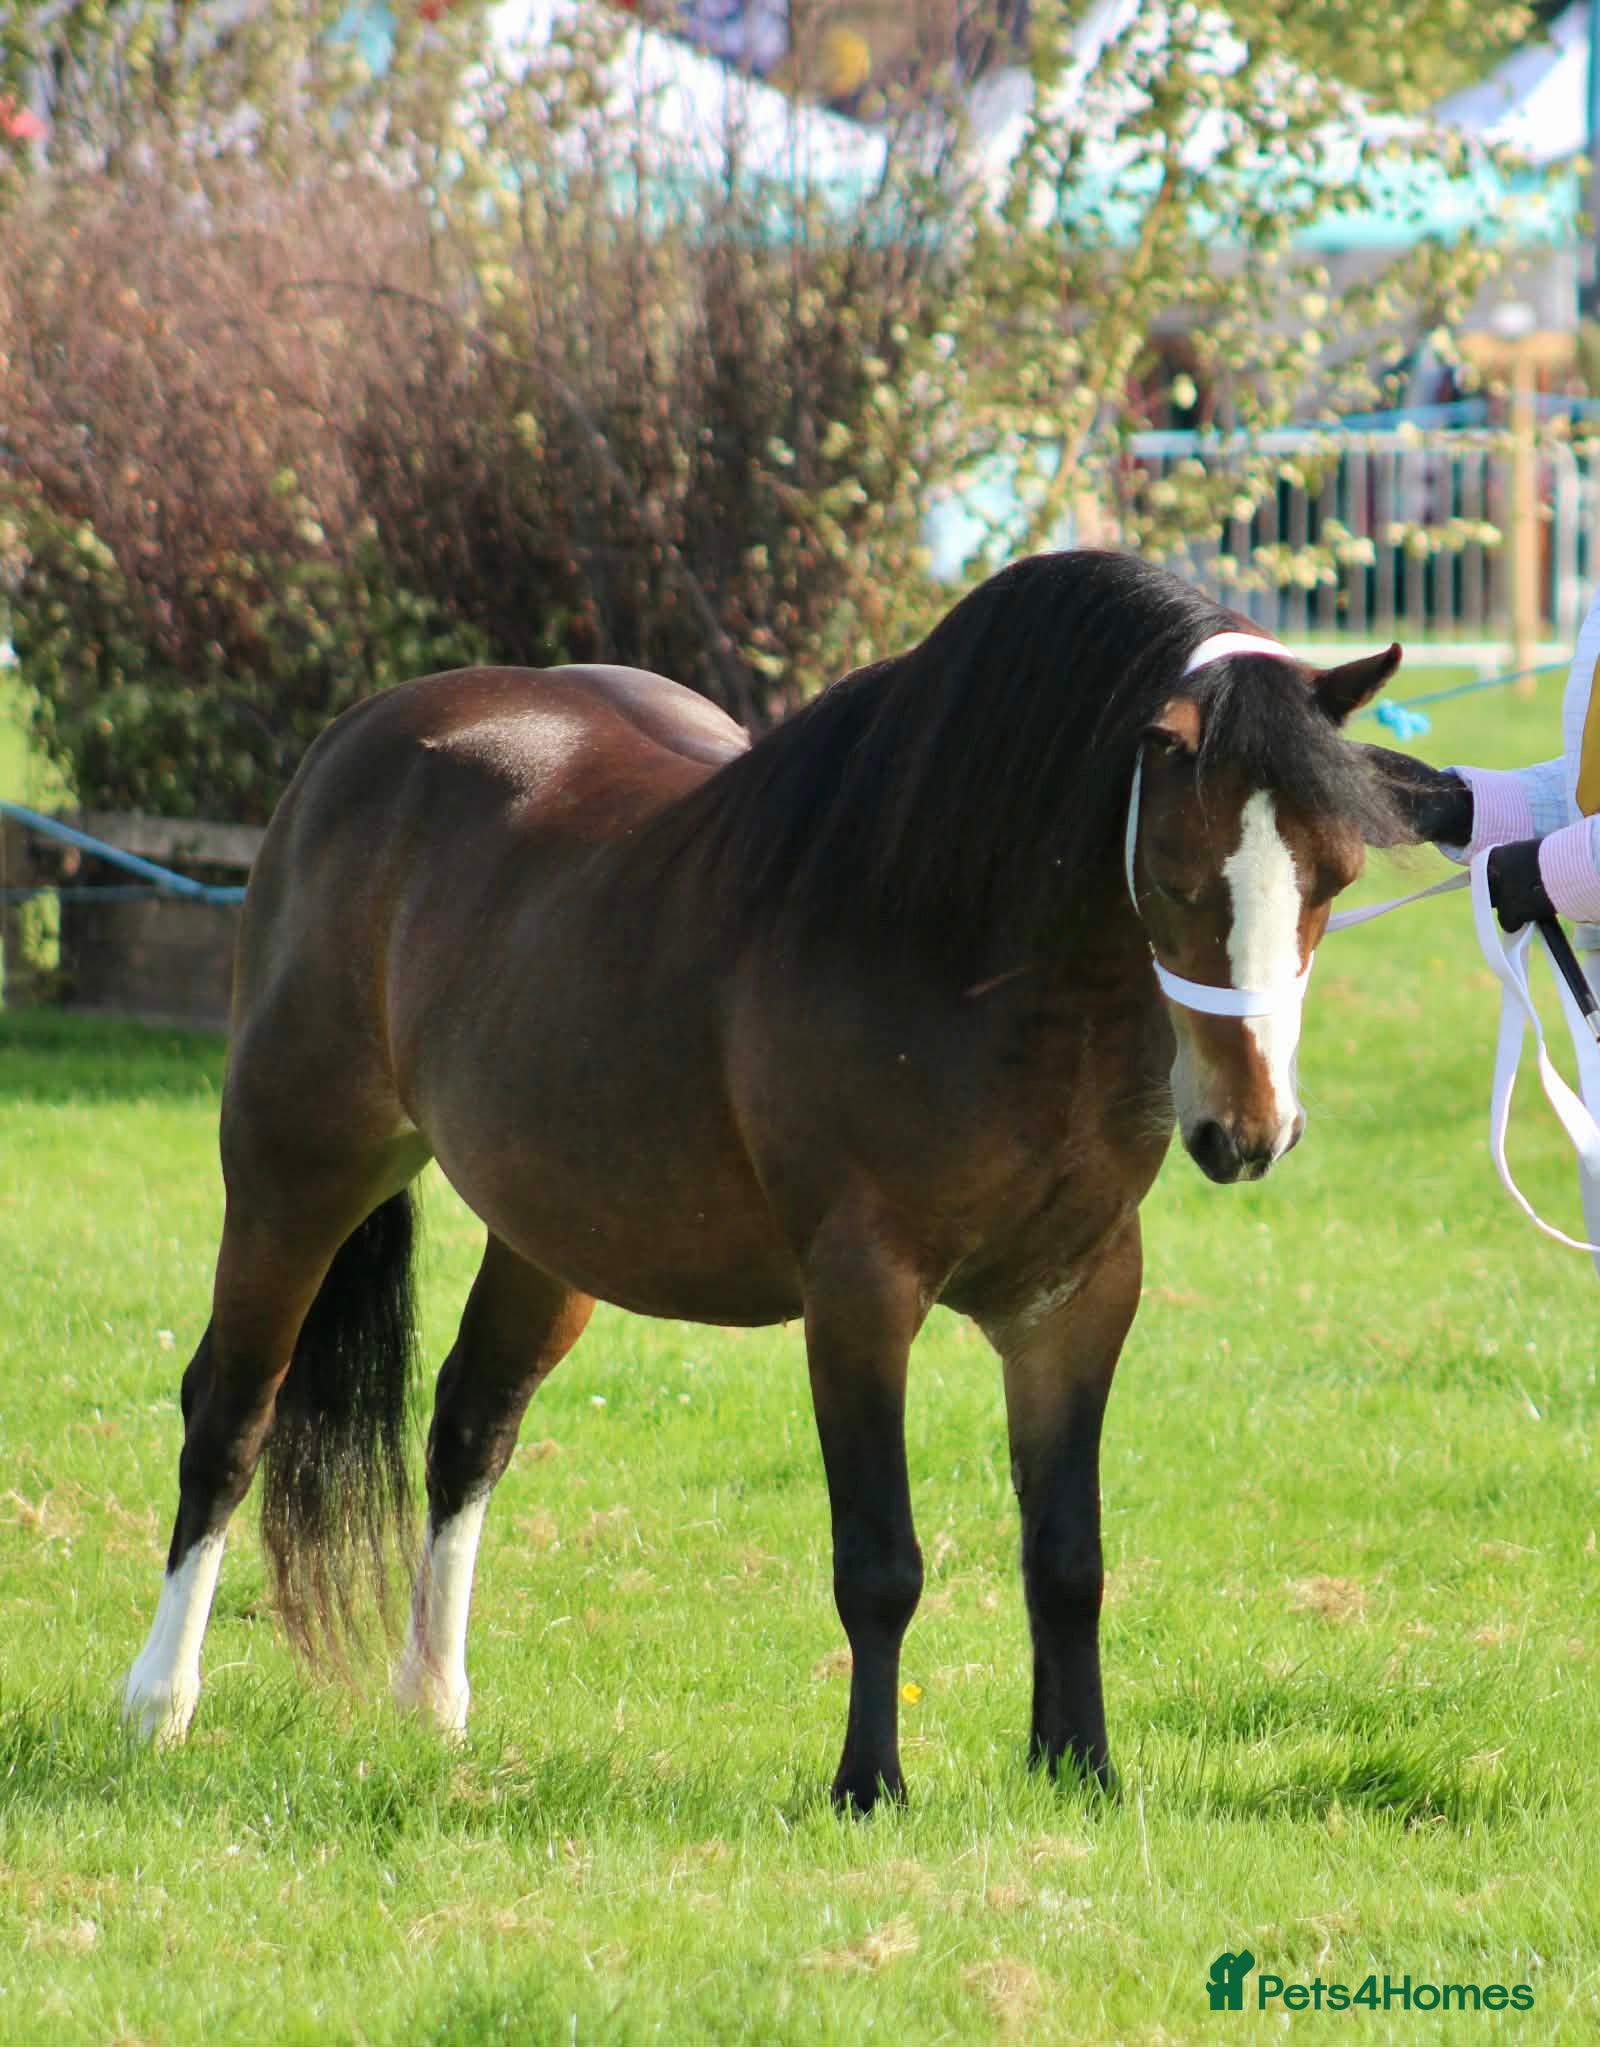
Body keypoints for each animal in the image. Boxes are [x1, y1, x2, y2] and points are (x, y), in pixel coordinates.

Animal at [122, 549, 1405, 1810]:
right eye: (1180, 877)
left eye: (1334, 875)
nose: (1250, 1131)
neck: (962, 948)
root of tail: (360, 737)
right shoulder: (859, 1295)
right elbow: (880, 1561)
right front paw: (869, 1784)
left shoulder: (1076, 1299)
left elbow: (1067, 1556)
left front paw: (1077, 1769)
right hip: (296, 1171)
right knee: (229, 1416)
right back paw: (158, 1702)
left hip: (547, 1234)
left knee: (470, 1427)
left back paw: (432, 1701)